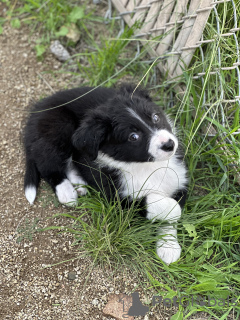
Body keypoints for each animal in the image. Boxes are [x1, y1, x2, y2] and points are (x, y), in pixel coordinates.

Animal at [23, 84, 188, 264]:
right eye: (133, 137)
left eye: (156, 117)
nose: (169, 145)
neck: (146, 166)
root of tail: (35, 112)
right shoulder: (119, 201)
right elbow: (169, 207)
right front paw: (168, 243)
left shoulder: (178, 182)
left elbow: (171, 215)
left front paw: (168, 246)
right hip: (59, 126)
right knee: (48, 165)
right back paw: (67, 192)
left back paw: (80, 183)